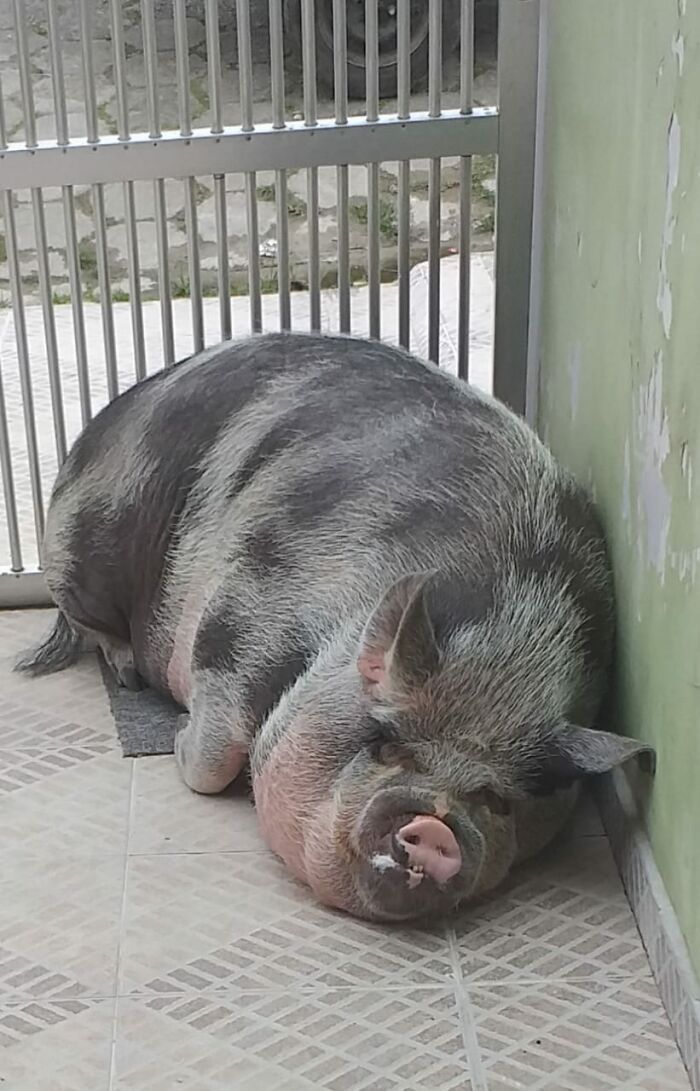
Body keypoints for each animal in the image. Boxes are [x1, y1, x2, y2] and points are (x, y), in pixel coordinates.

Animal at [17, 331, 653, 922]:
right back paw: (127, 674)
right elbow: (215, 756)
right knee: (86, 621)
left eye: (496, 799)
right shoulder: (242, 608)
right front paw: (176, 733)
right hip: (80, 546)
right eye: (387, 745)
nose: (435, 828)